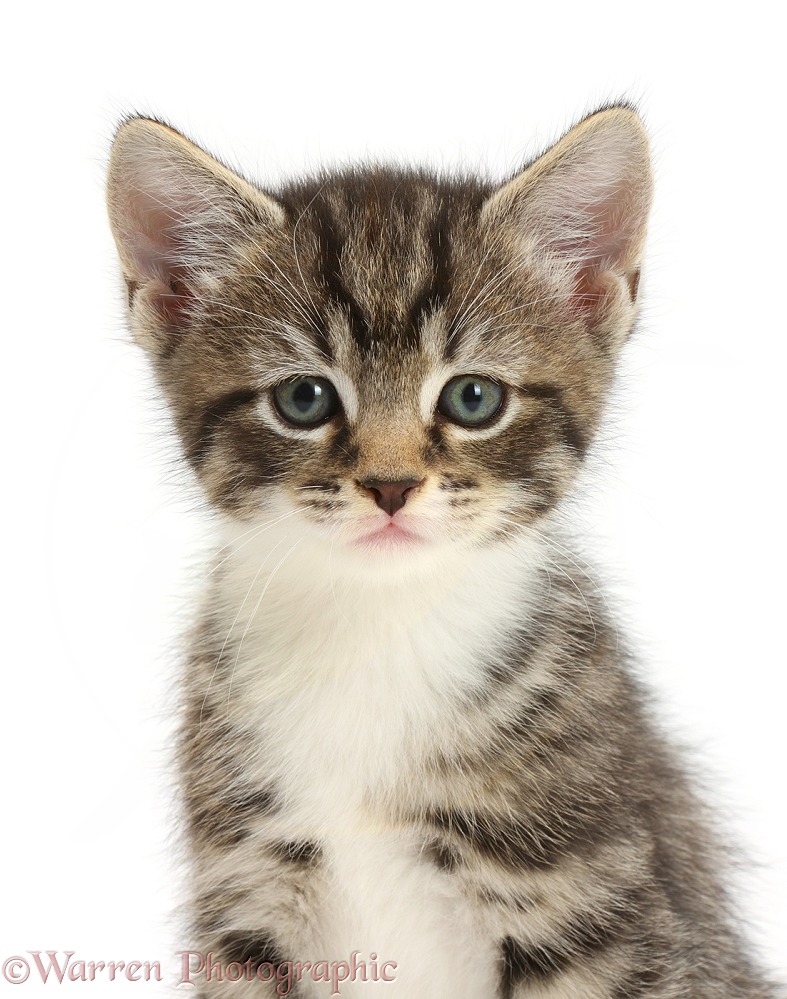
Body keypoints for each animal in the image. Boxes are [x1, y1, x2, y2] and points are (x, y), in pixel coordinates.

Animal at [107, 109, 784, 999]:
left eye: (473, 397)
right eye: (303, 398)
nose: (390, 485)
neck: (375, 632)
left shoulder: (594, 903)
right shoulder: (245, 903)